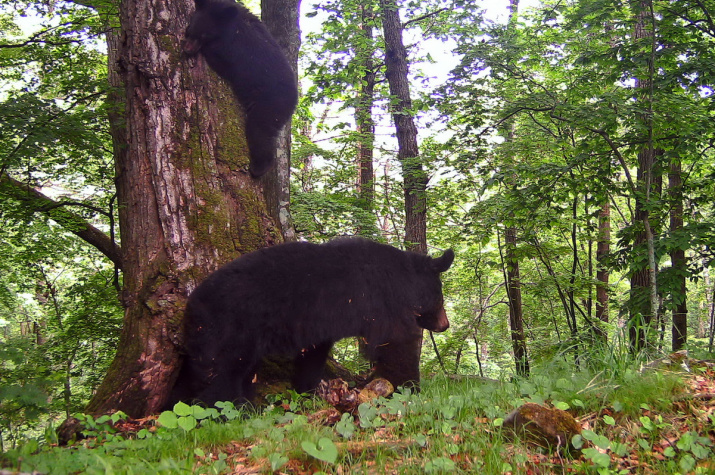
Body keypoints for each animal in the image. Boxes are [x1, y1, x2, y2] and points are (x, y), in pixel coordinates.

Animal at [171, 237, 456, 406]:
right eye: (440, 295)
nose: (445, 325)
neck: (403, 278)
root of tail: (192, 305)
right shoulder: (383, 304)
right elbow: (398, 343)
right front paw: (410, 387)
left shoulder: (319, 328)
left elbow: (312, 356)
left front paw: (307, 388)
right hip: (228, 329)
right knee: (220, 377)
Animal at [185, 0, 300, 178]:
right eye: (190, 29)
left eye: (204, 35)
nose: (187, 50)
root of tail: (294, 99)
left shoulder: (234, 49)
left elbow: (221, 59)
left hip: (271, 104)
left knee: (259, 131)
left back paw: (258, 168)